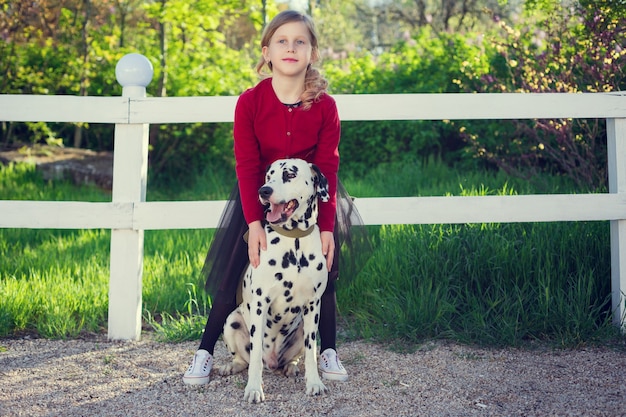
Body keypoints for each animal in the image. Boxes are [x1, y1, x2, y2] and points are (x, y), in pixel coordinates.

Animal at [217, 158, 330, 402]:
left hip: (302, 327)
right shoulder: (261, 303)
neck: (294, 242)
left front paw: (314, 383)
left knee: (297, 356)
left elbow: (311, 353)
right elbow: (255, 354)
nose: (264, 191)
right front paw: (254, 389)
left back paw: (292, 367)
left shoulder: (313, 305)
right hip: (232, 321)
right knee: (246, 359)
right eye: (269, 176)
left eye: (290, 174)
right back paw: (232, 366)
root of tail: (273, 362)